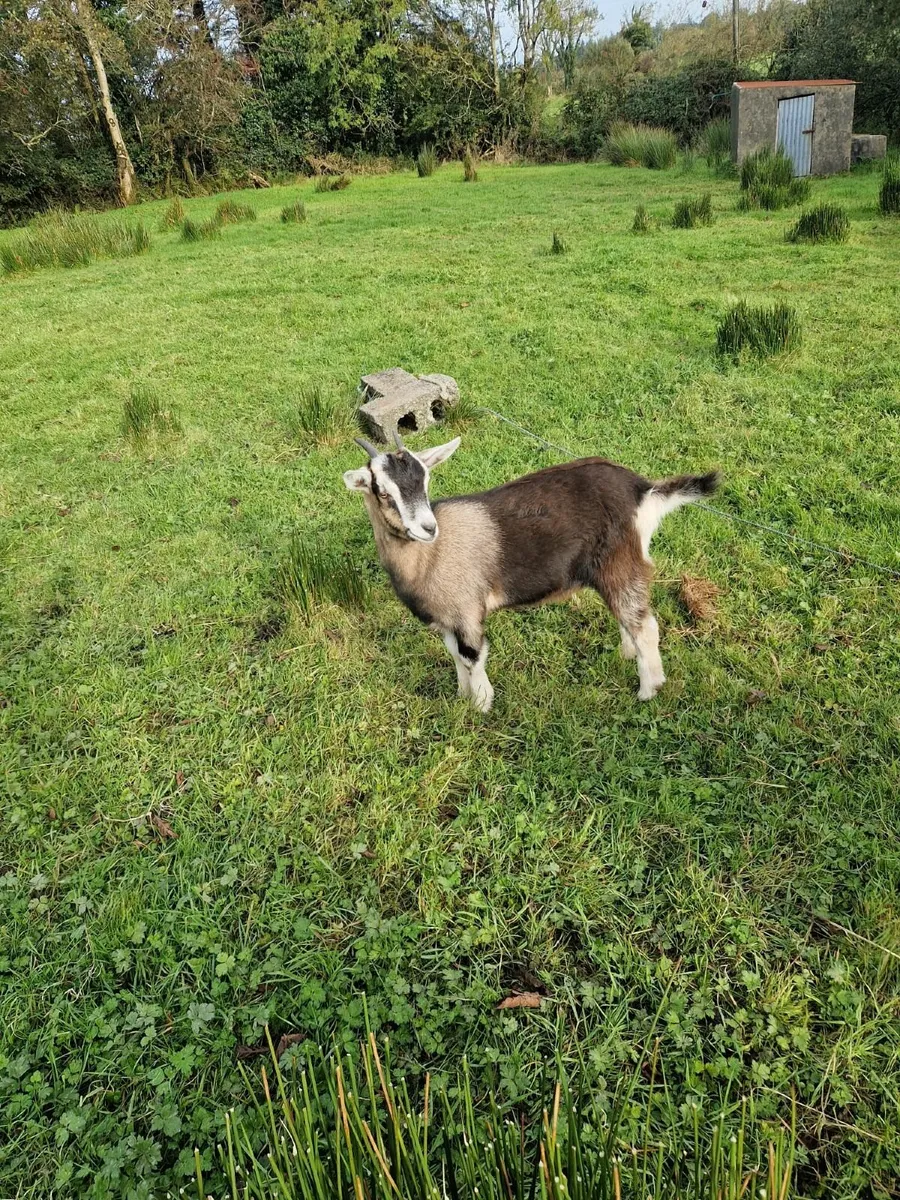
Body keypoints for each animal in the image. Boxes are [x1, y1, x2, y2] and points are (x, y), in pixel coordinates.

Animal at [343, 433, 719, 711]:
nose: (427, 528)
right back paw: (626, 656)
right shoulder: (446, 617)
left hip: (621, 562)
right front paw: (462, 697)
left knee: (645, 625)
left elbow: (472, 658)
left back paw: (648, 689)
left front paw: (480, 706)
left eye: (426, 480)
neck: (432, 555)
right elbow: (455, 656)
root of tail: (643, 490)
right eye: (382, 491)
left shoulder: (467, 612)